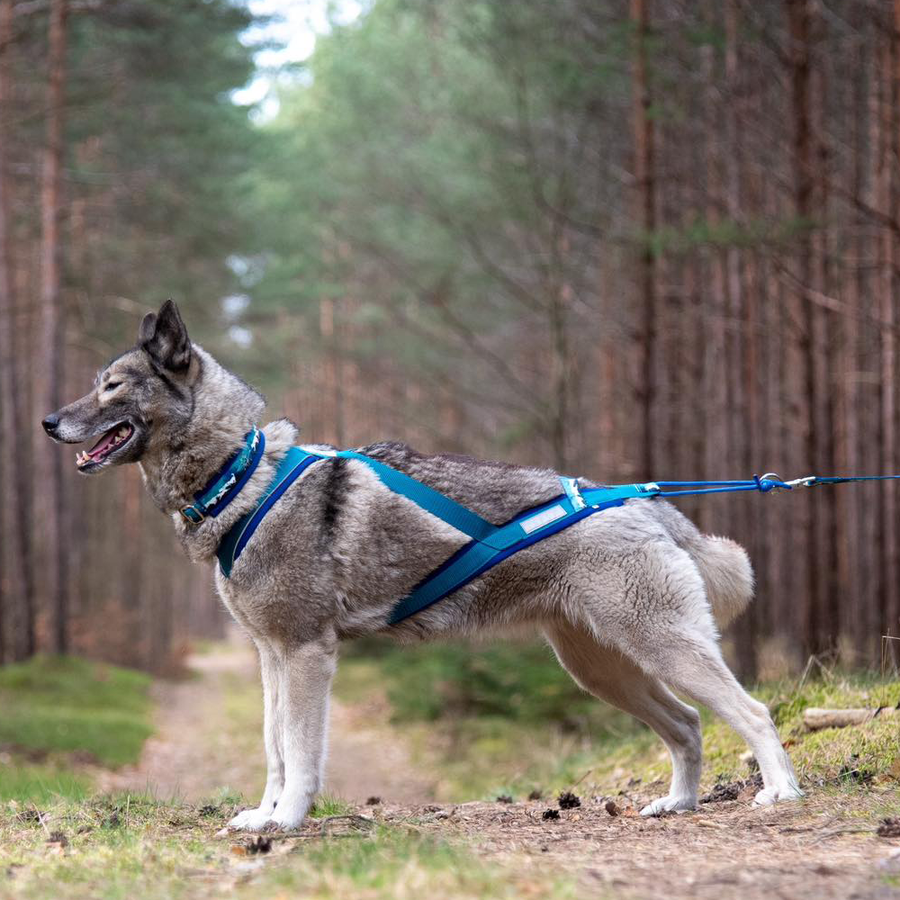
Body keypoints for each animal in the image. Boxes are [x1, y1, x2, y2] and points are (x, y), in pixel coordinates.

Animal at [44, 300, 800, 828]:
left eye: (112, 387)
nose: (49, 422)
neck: (238, 472)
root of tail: (646, 501)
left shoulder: (305, 654)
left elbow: (301, 753)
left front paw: (287, 822)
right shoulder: (270, 657)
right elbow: (273, 747)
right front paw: (264, 814)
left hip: (660, 647)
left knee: (753, 711)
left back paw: (781, 791)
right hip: (603, 669)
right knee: (689, 725)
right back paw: (680, 804)